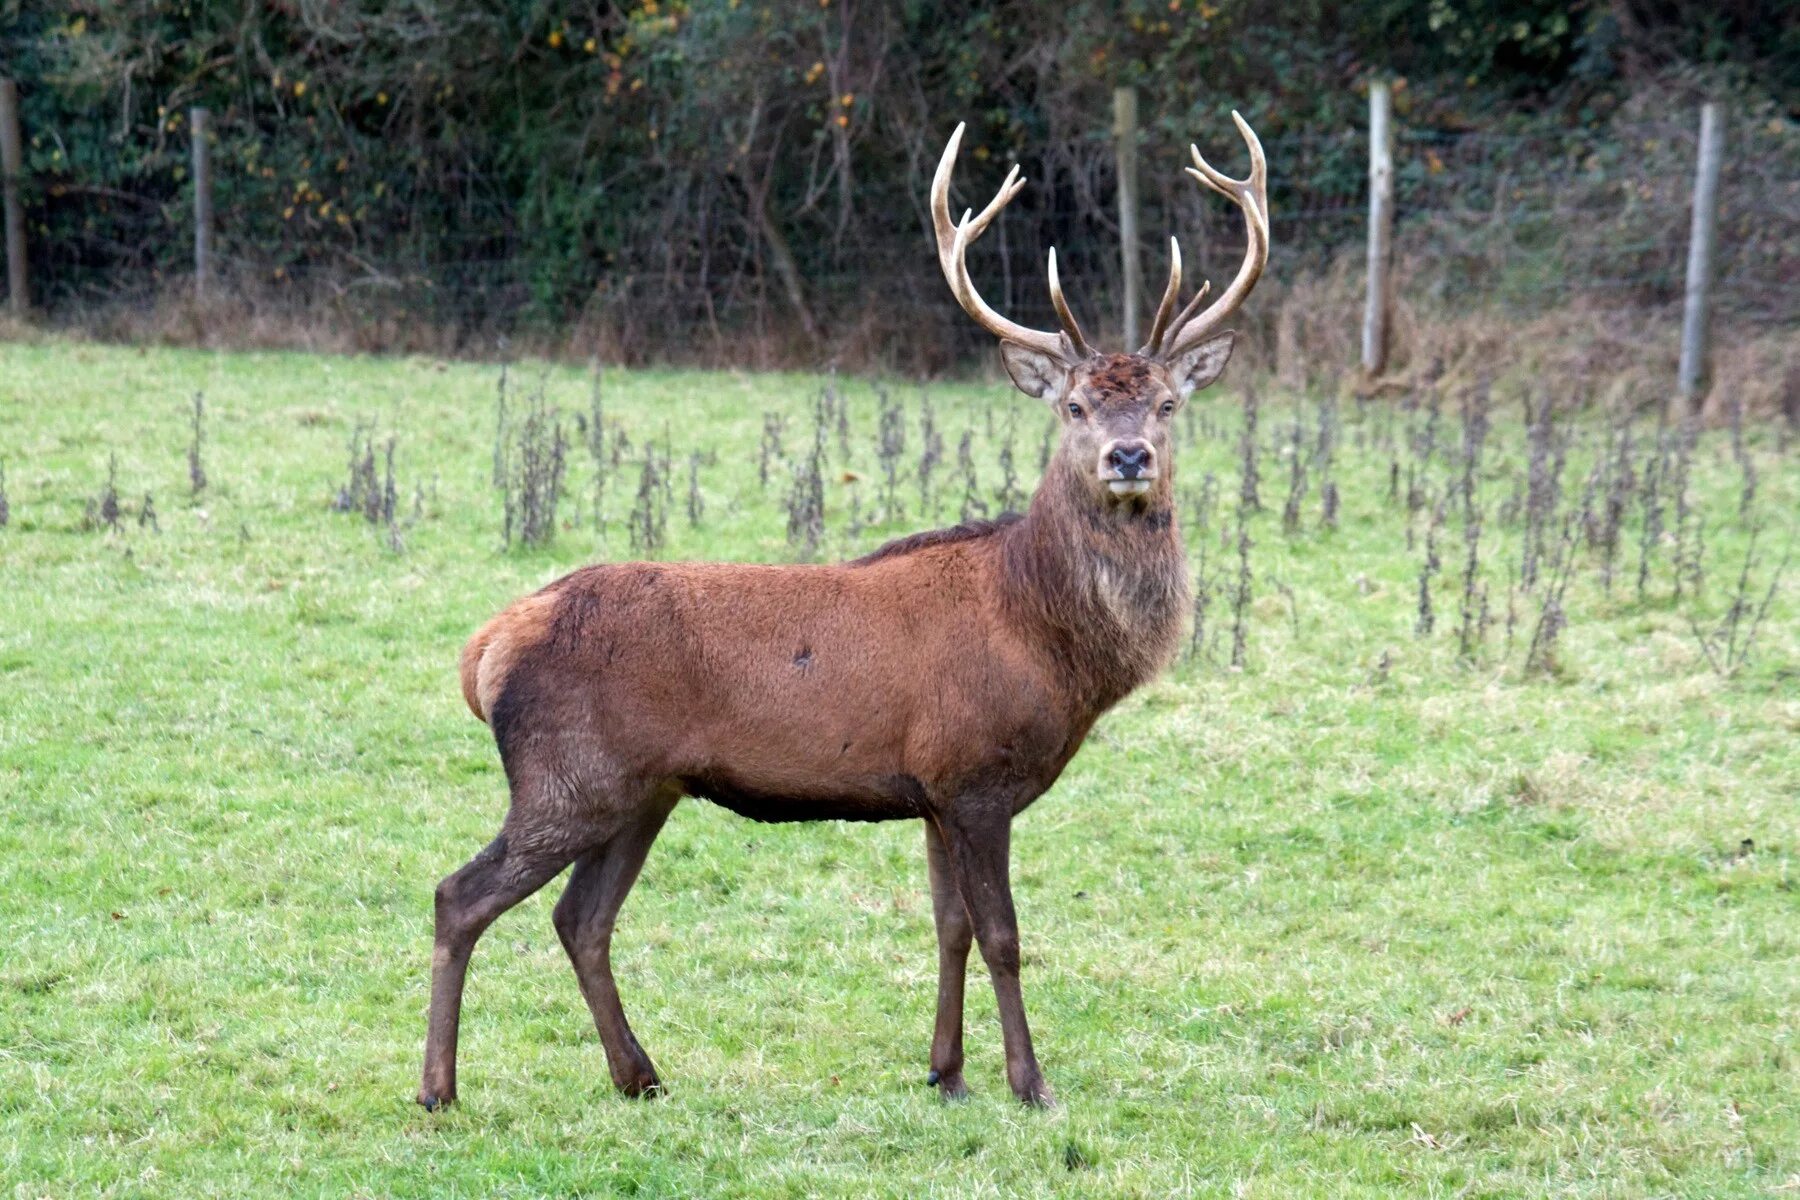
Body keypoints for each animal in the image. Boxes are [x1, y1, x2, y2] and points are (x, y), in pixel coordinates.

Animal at [417, 115, 1267, 1115]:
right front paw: (1030, 1085)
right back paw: (439, 1089)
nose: (1129, 456)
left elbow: (949, 930)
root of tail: (483, 649)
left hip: (639, 790)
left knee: (580, 917)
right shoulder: (975, 775)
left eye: (1169, 403)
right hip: (567, 778)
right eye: (1075, 405)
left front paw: (945, 1072)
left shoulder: (935, 793)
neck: (1048, 640)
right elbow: (1005, 937)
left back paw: (640, 1075)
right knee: (460, 895)